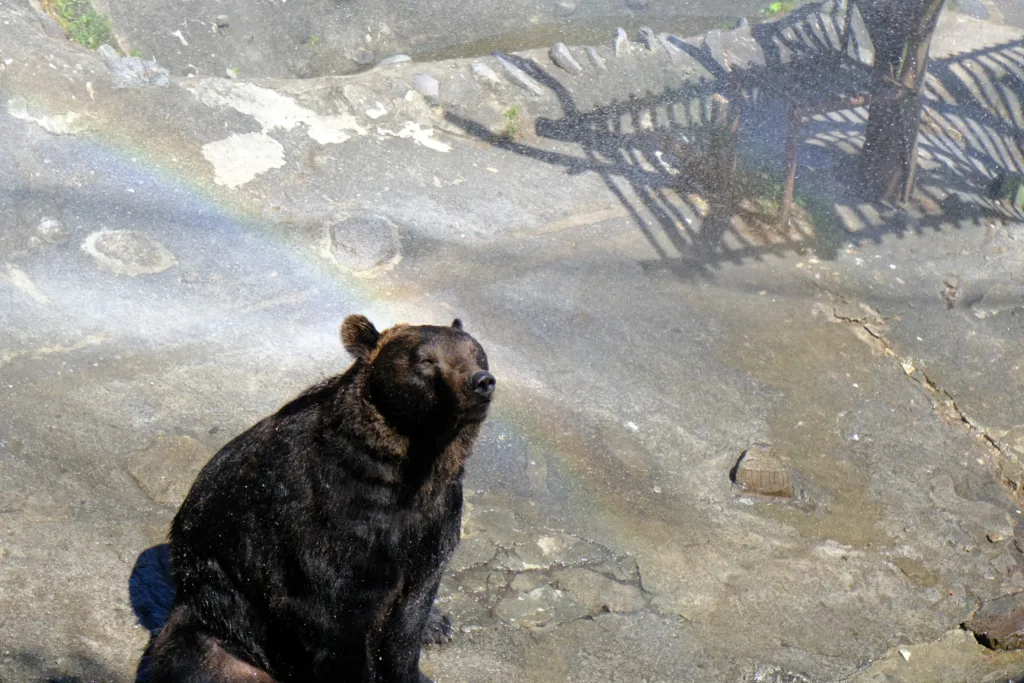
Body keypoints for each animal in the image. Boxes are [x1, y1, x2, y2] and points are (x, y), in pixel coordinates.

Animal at [148, 315, 495, 683]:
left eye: (477, 353)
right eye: (426, 361)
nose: (481, 382)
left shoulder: (432, 519)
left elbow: (411, 611)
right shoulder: (326, 521)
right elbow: (333, 617)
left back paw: (438, 624)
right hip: (218, 617)